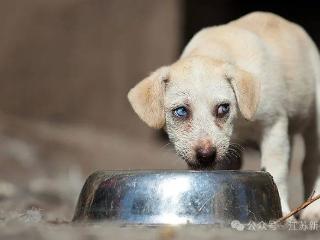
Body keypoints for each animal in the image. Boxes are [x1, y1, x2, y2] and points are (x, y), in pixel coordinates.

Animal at [127, 12, 320, 220]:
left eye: (223, 108)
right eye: (181, 111)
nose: (206, 155)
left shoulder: (273, 126)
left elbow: (276, 170)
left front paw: (283, 211)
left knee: (311, 162)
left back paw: (313, 209)